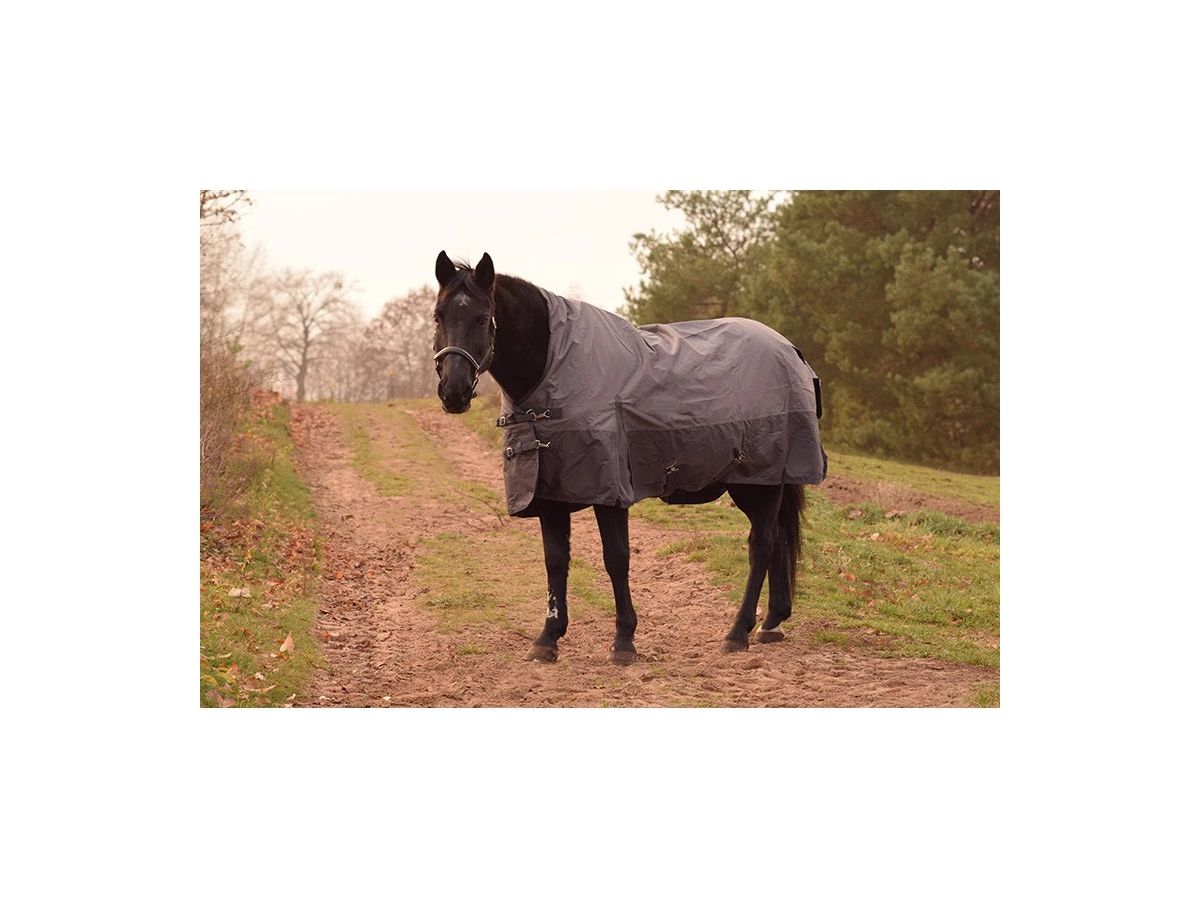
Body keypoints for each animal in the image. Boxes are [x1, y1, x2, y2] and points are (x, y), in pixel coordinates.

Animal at [432, 251, 825, 665]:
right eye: (439, 316)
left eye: (482, 318)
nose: (454, 392)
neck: (555, 365)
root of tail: (791, 351)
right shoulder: (551, 493)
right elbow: (555, 561)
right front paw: (548, 639)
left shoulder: (611, 490)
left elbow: (616, 559)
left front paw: (624, 641)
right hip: (761, 481)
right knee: (778, 540)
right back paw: (772, 621)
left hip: (760, 479)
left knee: (761, 545)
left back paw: (738, 632)